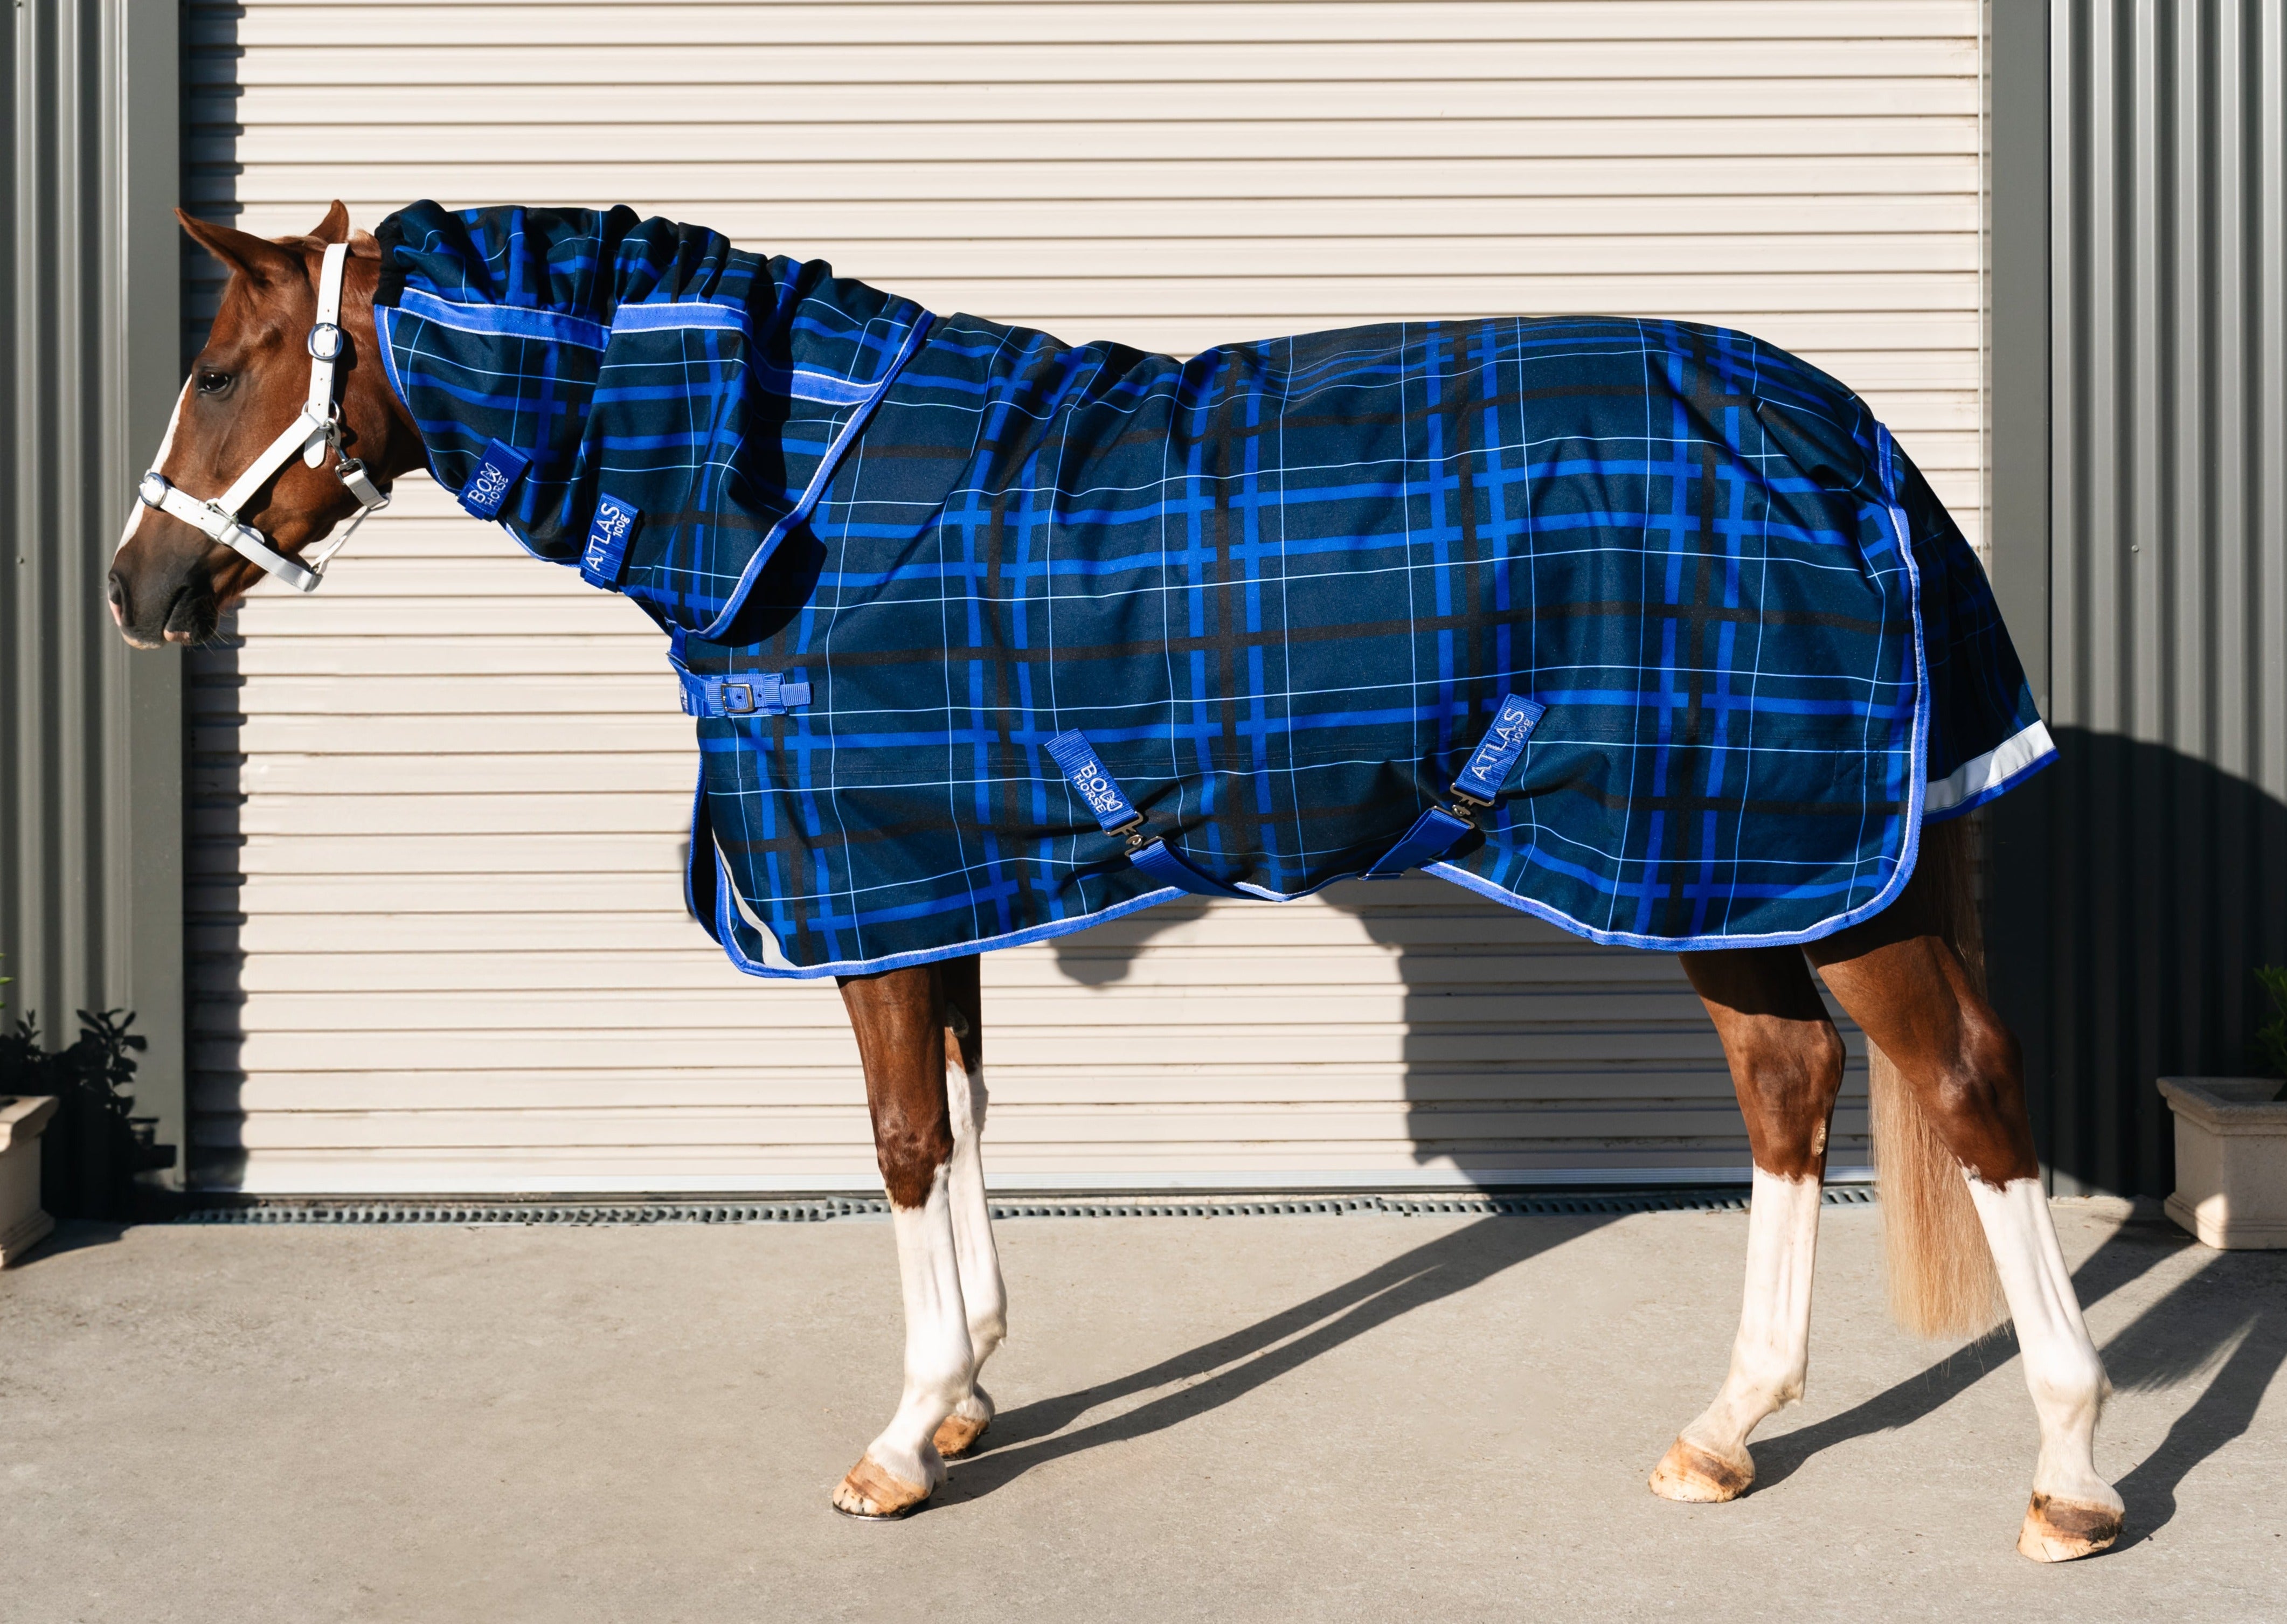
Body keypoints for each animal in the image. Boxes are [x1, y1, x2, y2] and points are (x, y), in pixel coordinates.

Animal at [108, 203, 2123, 1560]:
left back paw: (2071, 1472)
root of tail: (1848, 436)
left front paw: (901, 1438)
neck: (791, 489)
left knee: (1964, 1089)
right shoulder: (942, 886)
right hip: (1710, 869)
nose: (137, 587)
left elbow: (900, 1143)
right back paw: (1724, 1428)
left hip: (1815, 875)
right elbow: (965, 1120)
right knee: (1787, 1085)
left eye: (216, 370)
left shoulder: (870, 891)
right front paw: (971, 1392)